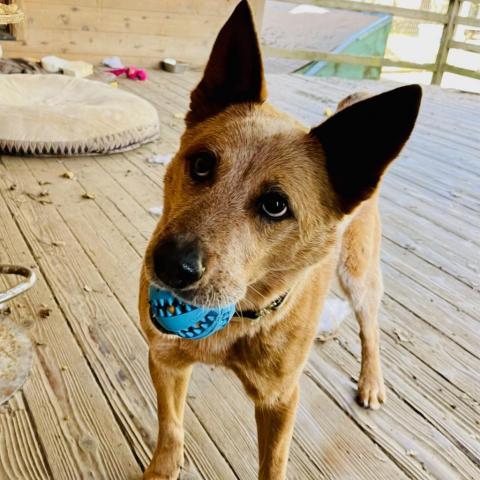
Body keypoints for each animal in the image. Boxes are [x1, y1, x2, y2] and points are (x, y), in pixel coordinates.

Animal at [138, 1, 420, 478]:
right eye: (201, 164)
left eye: (275, 206)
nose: (171, 265)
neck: (238, 315)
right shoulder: (166, 361)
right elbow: (171, 429)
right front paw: (162, 468)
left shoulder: (279, 400)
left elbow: (273, 464)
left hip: (359, 276)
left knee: (370, 328)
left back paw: (371, 381)